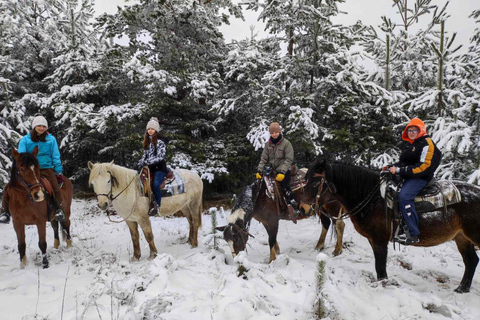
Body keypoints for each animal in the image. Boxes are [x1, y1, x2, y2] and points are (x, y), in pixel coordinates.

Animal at [304, 159, 480, 294]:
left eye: (315, 181)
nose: (304, 207)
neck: (372, 199)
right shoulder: (372, 240)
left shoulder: (380, 240)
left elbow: (380, 266)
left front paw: (382, 286)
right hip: (461, 237)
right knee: (471, 261)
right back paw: (462, 289)